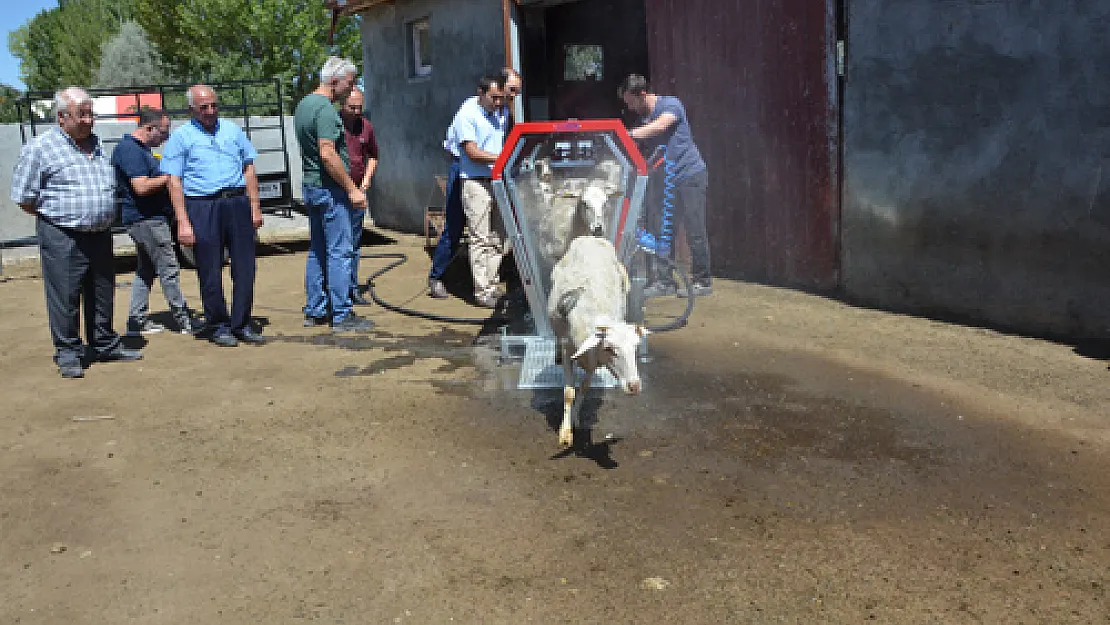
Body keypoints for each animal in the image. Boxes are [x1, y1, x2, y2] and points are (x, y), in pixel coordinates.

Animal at [548, 233, 648, 444]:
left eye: (635, 348)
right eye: (610, 348)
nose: (635, 386)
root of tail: (590, 237)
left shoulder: (594, 359)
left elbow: (584, 387)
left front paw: (575, 419)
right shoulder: (568, 350)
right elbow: (569, 392)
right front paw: (565, 433)